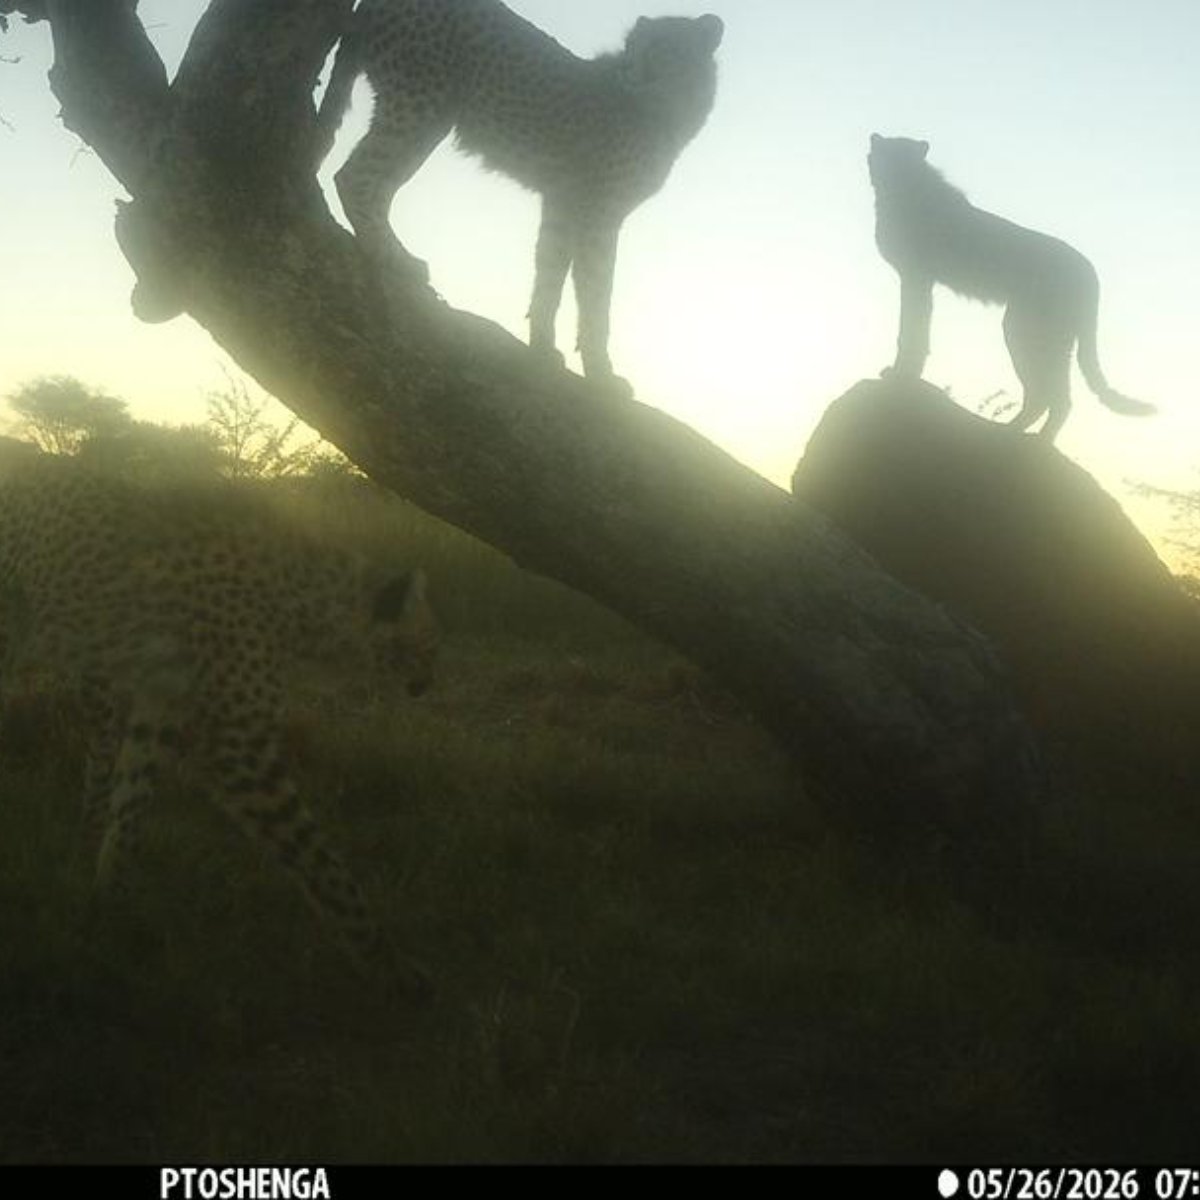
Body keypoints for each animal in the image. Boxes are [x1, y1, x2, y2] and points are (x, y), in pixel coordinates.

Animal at [0, 453, 439, 986]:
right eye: (428, 642)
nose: (429, 682)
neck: (306, 598)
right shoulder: (239, 748)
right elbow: (317, 858)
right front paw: (386, 960)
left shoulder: (161, 703)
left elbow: (132, 799)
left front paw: (110, 900)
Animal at [314, 0, 724, 393]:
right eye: (634, 46)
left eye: (667, 47)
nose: (633, 69)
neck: (665, 110)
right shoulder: (599, 216)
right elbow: (596, 295)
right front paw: (601, 374)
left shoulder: (562, 203)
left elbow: (550, 274)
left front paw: (542, 347)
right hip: (425, 103)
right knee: (355, 177)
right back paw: (390, 255)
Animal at [868, 134, 1154, 441]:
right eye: (884, 156)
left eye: (901, 158)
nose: (888, 172)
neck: (908, 191)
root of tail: (1089, 268)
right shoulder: (920, 280)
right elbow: (914, 331)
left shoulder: (916, 278)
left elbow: (911, 332)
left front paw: (901, 374)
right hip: (1048, 338)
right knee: (1052, 394)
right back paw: (1017, 432)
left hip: (1027, 332)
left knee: (1053, 395)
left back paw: (1030, 439)